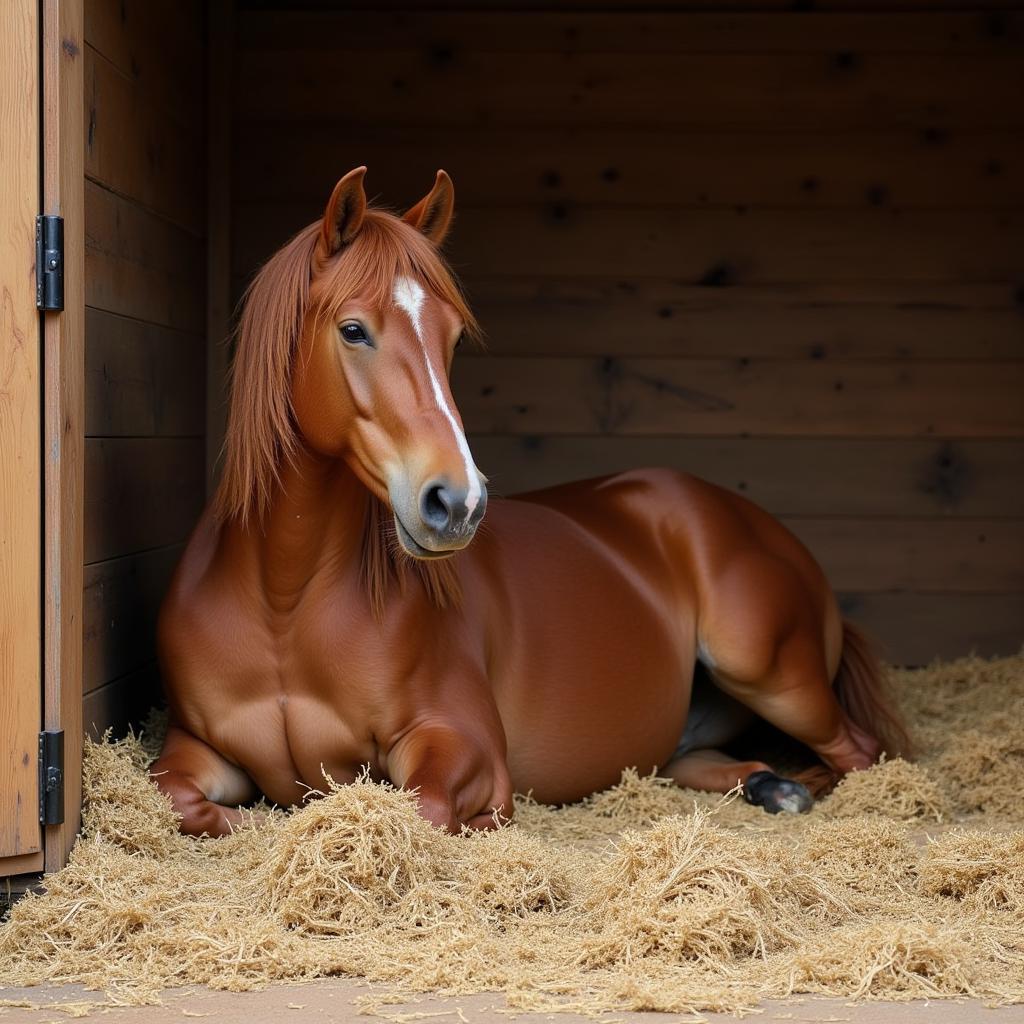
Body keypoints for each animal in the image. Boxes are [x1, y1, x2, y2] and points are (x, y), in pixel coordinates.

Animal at [149, 169, 905, 839]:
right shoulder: (193, 742)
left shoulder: (464, 740)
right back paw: (764, 782)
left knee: (861, 754)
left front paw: (484, 822)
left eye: (452, 337)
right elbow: (175, 798)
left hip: (766, 670)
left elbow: (419, 809)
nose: (457, 502)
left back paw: (789, 790)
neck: (285, 604)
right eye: (353, 330)